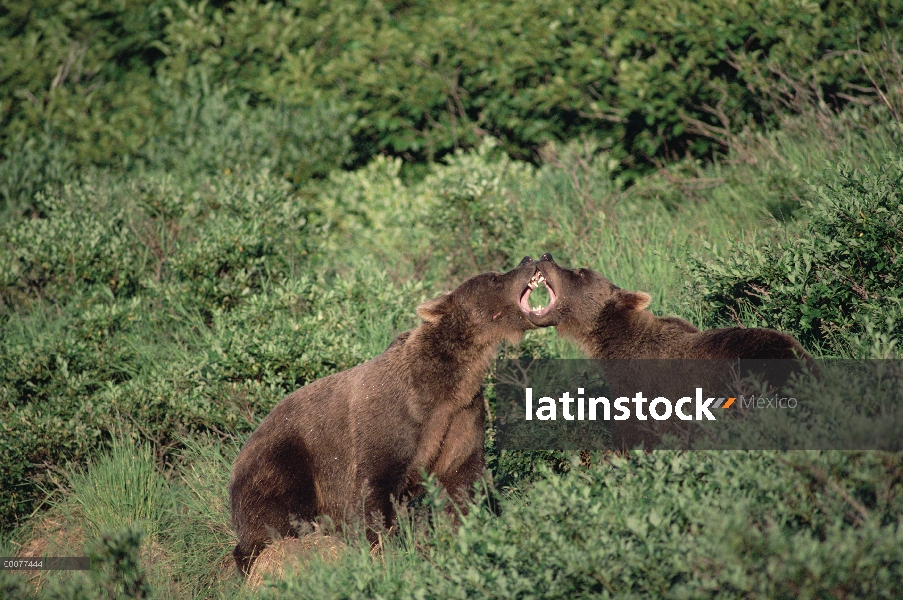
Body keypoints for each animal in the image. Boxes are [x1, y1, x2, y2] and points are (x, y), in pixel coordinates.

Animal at [230, 255, 548, 576]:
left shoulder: (461, 416)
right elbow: (374, 488)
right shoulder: (391, 418)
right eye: (494, 278)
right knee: (278, 516)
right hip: (285, 459)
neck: (446, 381)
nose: (529, 260)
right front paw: (379, 547)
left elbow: (461, 479)